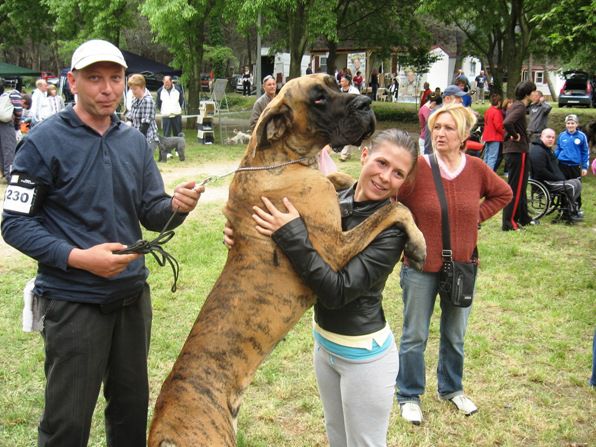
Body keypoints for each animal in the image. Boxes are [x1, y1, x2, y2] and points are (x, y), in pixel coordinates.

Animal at [151, 75, 426, 446]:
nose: (366, 102)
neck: (281, 160)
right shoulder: (334, 248)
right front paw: (418, 243)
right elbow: (393, 209)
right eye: (318, 99)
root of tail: (160, 427)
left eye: (334, 84)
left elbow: (345, 180)